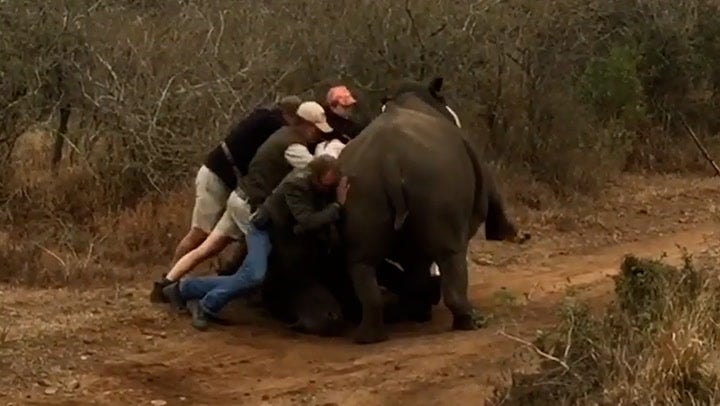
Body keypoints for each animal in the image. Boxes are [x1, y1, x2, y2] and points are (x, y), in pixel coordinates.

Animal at [336, 77, 528, 344]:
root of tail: (389, 160)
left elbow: (415, 262)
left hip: (361, 185)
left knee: (361, 262)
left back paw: (372, 334)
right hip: (434, 177)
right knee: (451, 253)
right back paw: (470, 322)